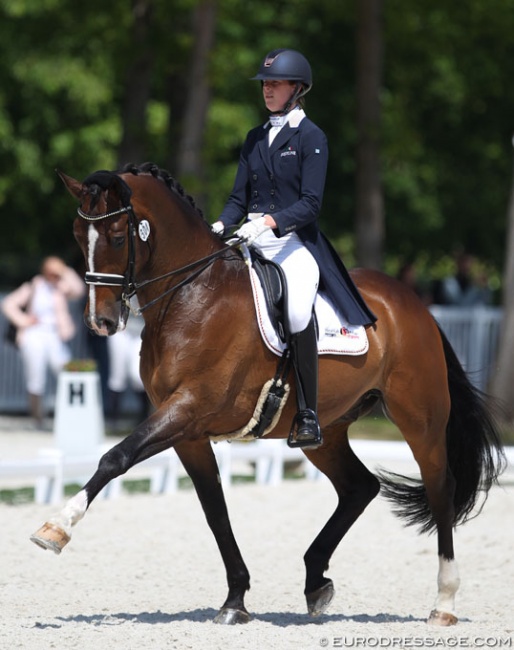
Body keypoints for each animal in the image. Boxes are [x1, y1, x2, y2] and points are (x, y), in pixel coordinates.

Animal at [31, 161, 504, 624]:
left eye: (115, 236)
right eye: (79, 236)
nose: (101, 322)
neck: (191, 297)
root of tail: (413, 303)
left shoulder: (188, 408)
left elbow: (116, 457)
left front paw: (56, 527)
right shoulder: (188, 432)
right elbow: (214, 510)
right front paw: (235, 599)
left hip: (420, 418)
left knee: (440, 487)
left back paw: (444, 603)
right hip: (327, 432)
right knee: (359, 487)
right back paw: (316, 581)